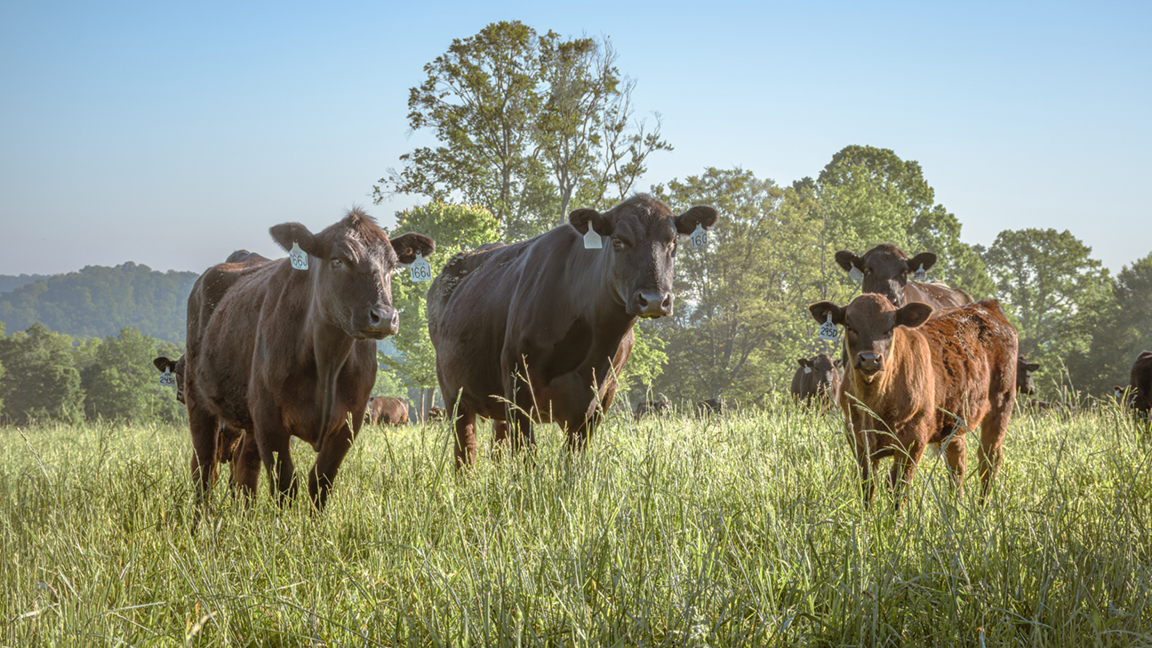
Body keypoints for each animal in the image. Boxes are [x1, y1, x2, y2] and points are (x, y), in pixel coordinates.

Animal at [184, 208, 433, 509]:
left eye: (393, 264)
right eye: (337, 260)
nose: (384, 316)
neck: (326, 361)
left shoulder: (350, 421)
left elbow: (321, 480)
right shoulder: (269, 418)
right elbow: (285, 484)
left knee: (244, 466)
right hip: (197, 398)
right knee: (205, 467)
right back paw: (203, 515)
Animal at [427, 193, 717, 466]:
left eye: (673, 243)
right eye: (618, 241)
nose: (655, 299)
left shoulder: (598, 403)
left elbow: (572, 463)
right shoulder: (518, 390)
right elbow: (528, 460)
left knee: (497, 448)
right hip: (454, 395)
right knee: (465, 454)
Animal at [808, 295, 1018, 508]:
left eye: (890, 328)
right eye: (849, 325)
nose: (870, 359)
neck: (874, 401)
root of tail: (986, 306)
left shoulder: (914, 438)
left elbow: (898, 485)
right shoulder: (856, 436)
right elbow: (868, 485)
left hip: (1001, 407)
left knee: (989, 460)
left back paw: (982, 507)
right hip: (954, 423)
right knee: (957, 465)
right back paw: (955, 508)